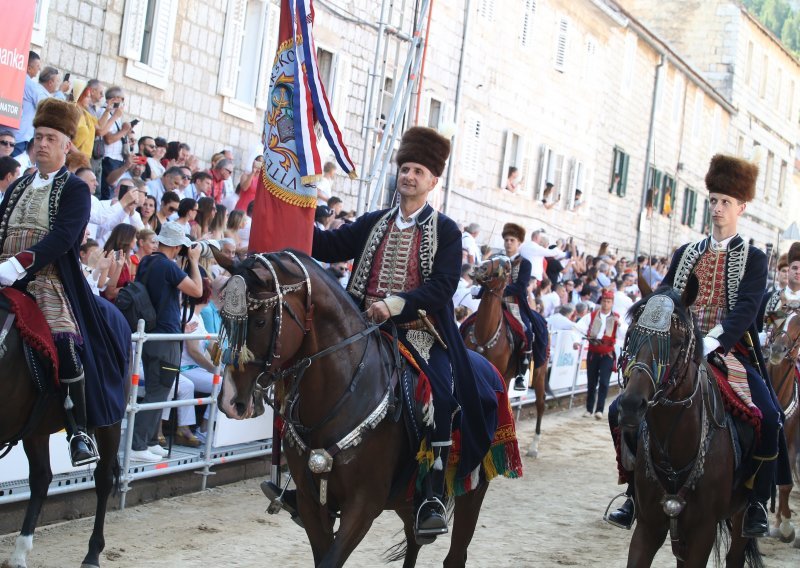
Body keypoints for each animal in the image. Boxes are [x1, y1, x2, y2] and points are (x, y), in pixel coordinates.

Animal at [0, 306, 122, 568]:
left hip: (111, 423)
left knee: (103, 480)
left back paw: (92, 554)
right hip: (36, 429)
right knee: (41, 478)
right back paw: (20, 553)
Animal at [212, 253, 512, 568]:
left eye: (259, 321)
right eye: (225, 320)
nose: (230, 401)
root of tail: (490, 371)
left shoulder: (362, 506)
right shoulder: (311, 504)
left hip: (472, 489)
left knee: (454, 555)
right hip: (406, 499)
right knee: (414, 539)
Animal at [462, 260, 552, 460]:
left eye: (506, 267)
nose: (478, 268)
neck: (485, 335)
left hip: (539, 372)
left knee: (540, 404)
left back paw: (534, 447)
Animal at [620, 284, 764, 568]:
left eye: (677, 342)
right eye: (631, 335)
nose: (631, 404)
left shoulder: (703, 531)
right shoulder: (648, 526)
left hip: (741, 515)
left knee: (735, 555)